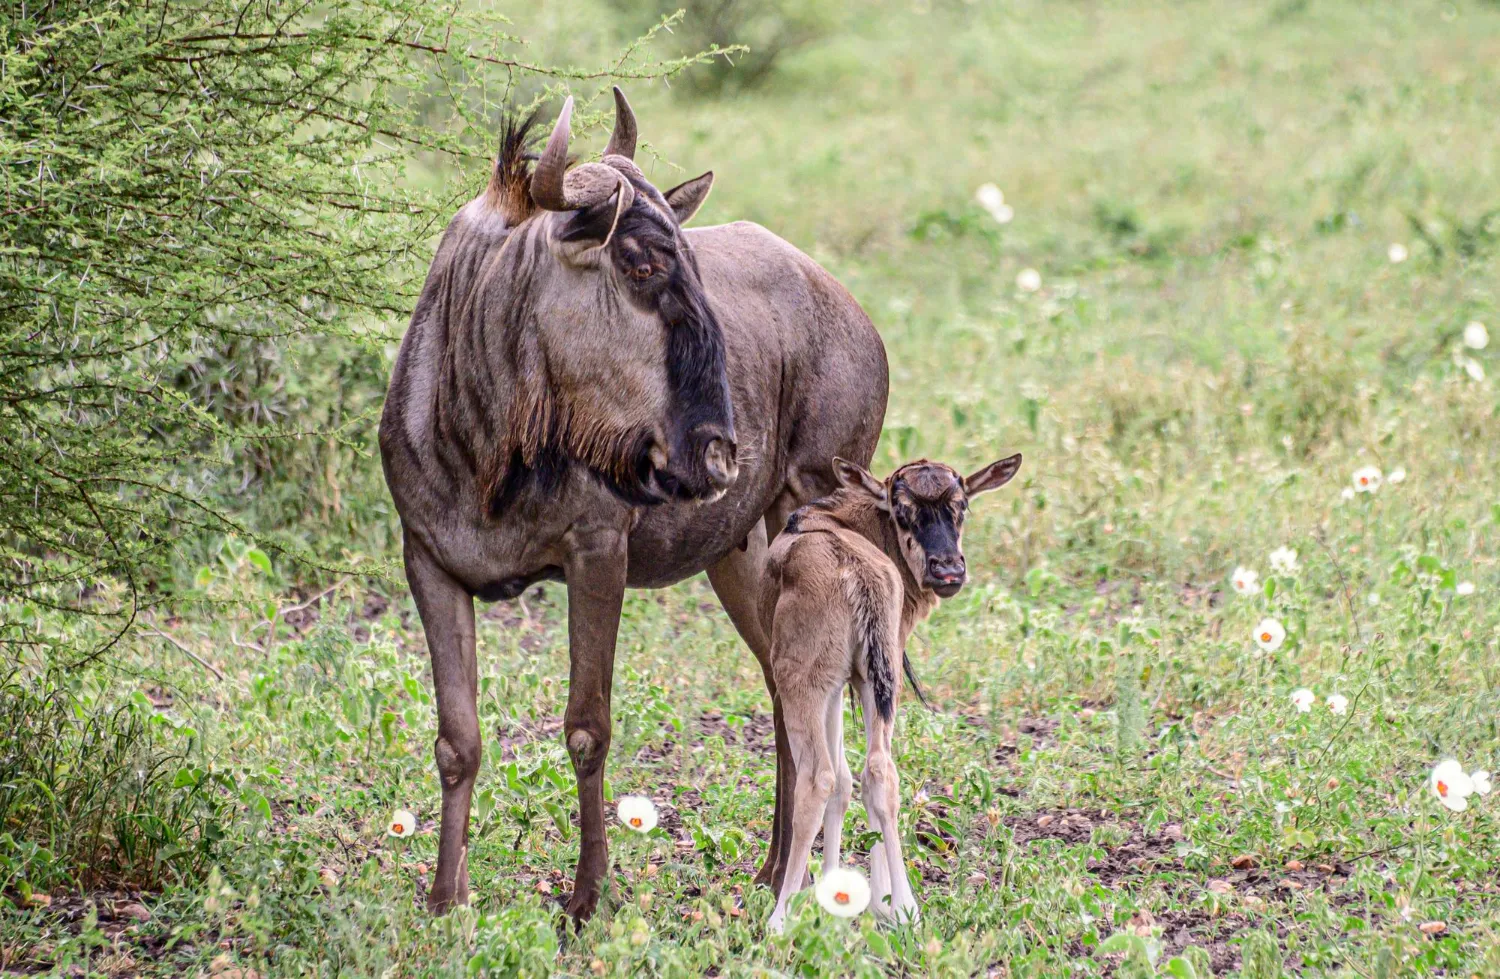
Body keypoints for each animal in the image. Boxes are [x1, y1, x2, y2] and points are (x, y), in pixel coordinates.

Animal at [378, 88, 888, 921]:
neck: (487, 441)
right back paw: (769, 871)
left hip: (811, 522)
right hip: (739, 560)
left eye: (692, 263)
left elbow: (587, 726)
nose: (719, 455)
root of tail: (852, 312)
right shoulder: (427, 562)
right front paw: (446, 900)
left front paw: (587, 899)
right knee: (784, 692)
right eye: (641, 261)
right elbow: (458, 740)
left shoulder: (597, 554)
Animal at [758, 454, 1022, 931]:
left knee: (817, 778)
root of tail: (855, 571)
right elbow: (851, 783)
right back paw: (905, 908)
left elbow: (836, 780)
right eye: (903, 510)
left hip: (801, 683)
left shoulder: (827, 684)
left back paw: (780, 919)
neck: (837, 520)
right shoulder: (855, 678)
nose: (948, 570)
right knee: (881, 772)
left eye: (961, 505)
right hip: (876, 682)